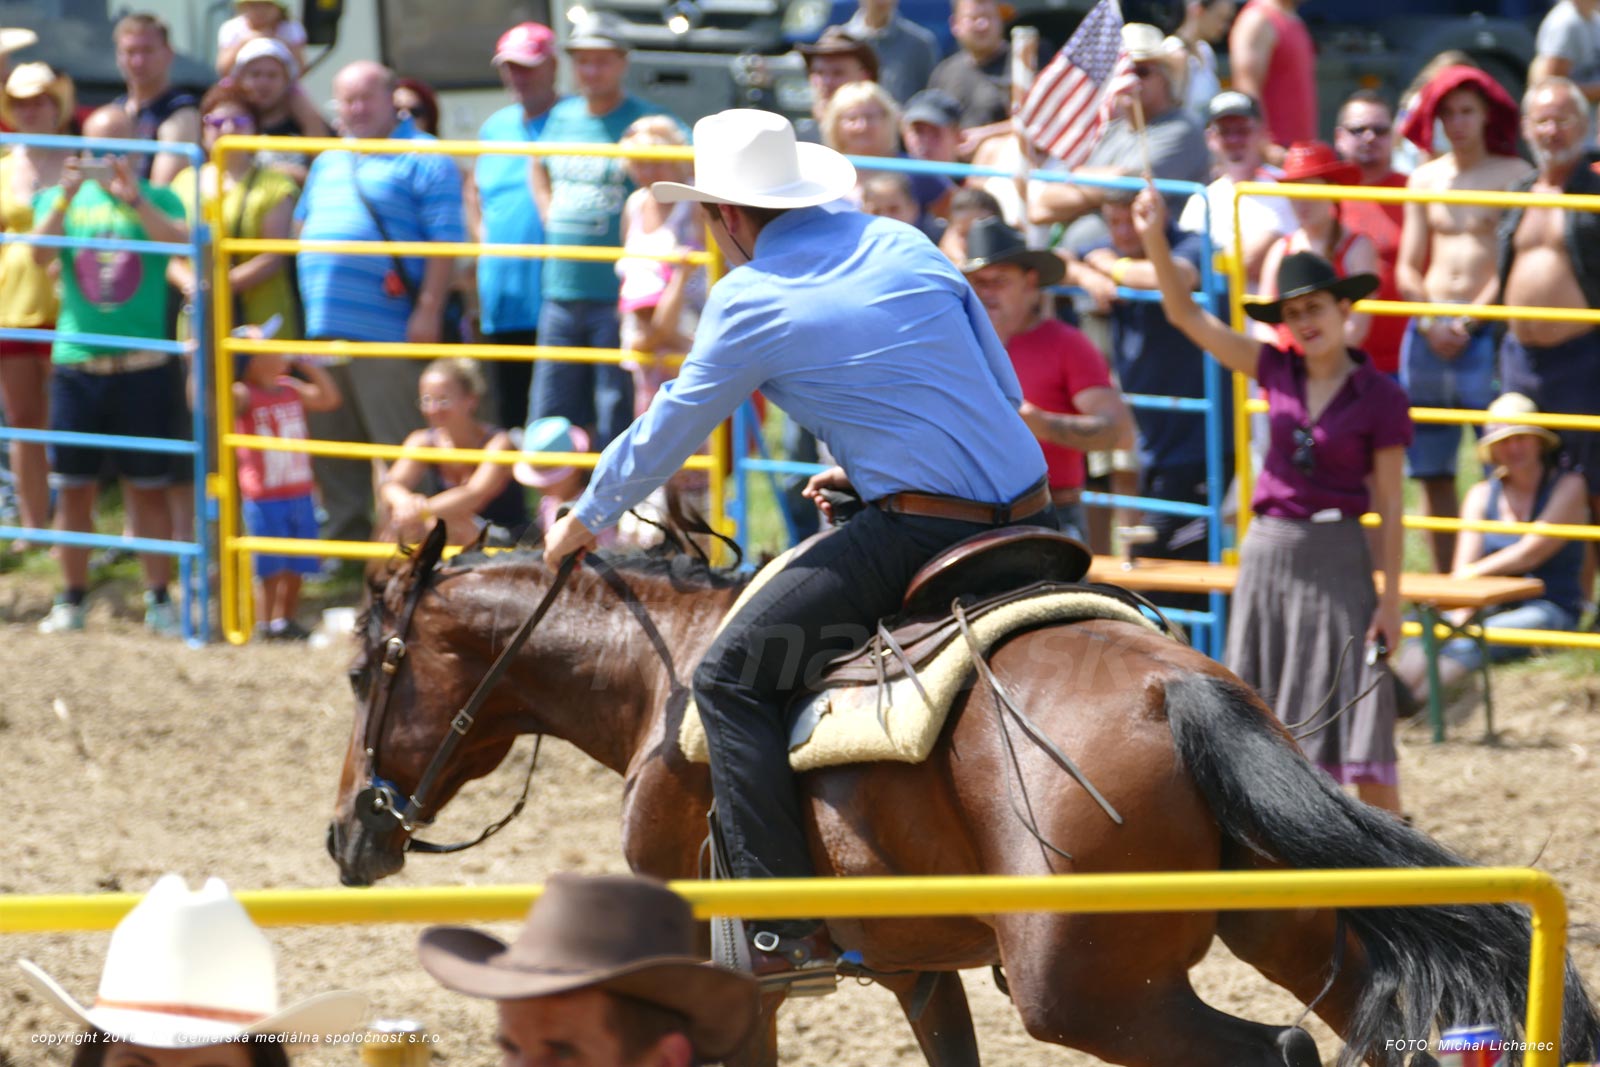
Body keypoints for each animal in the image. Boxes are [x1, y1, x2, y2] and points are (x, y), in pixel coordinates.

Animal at [328, 524, 1600, 1067]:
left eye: (358, 671)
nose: (349, 835)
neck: (663, 679)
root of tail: (1179, 689)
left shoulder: (715, 969)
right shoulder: (914, 963)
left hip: (1088, 991)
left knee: (1275, 1051)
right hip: (1292, 930)